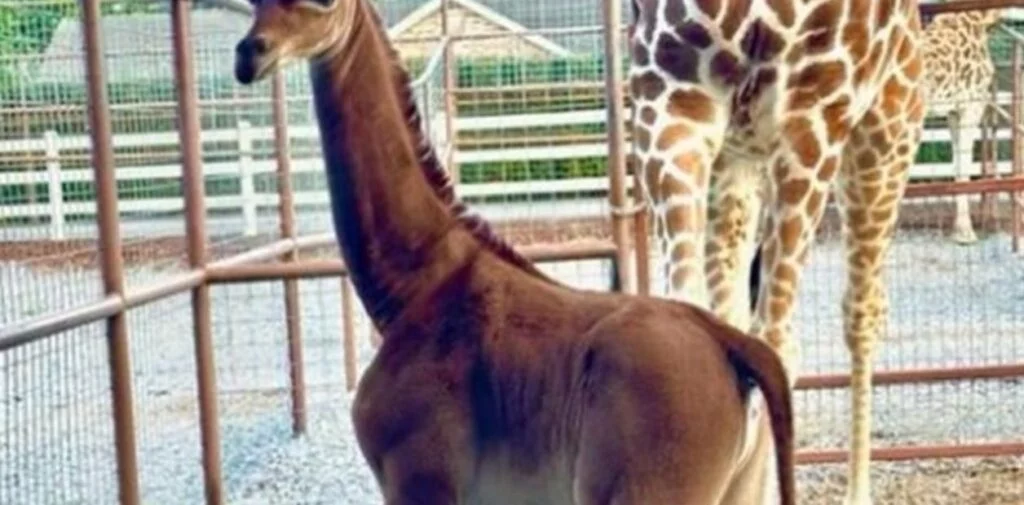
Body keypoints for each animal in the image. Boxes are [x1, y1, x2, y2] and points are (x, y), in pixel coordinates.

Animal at [232, 0, 796, 504]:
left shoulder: (418, 480)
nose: (250, 54)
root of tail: (732, 345)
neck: (413, 287)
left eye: (324, 3)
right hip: (740, 490)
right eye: (257, 1)